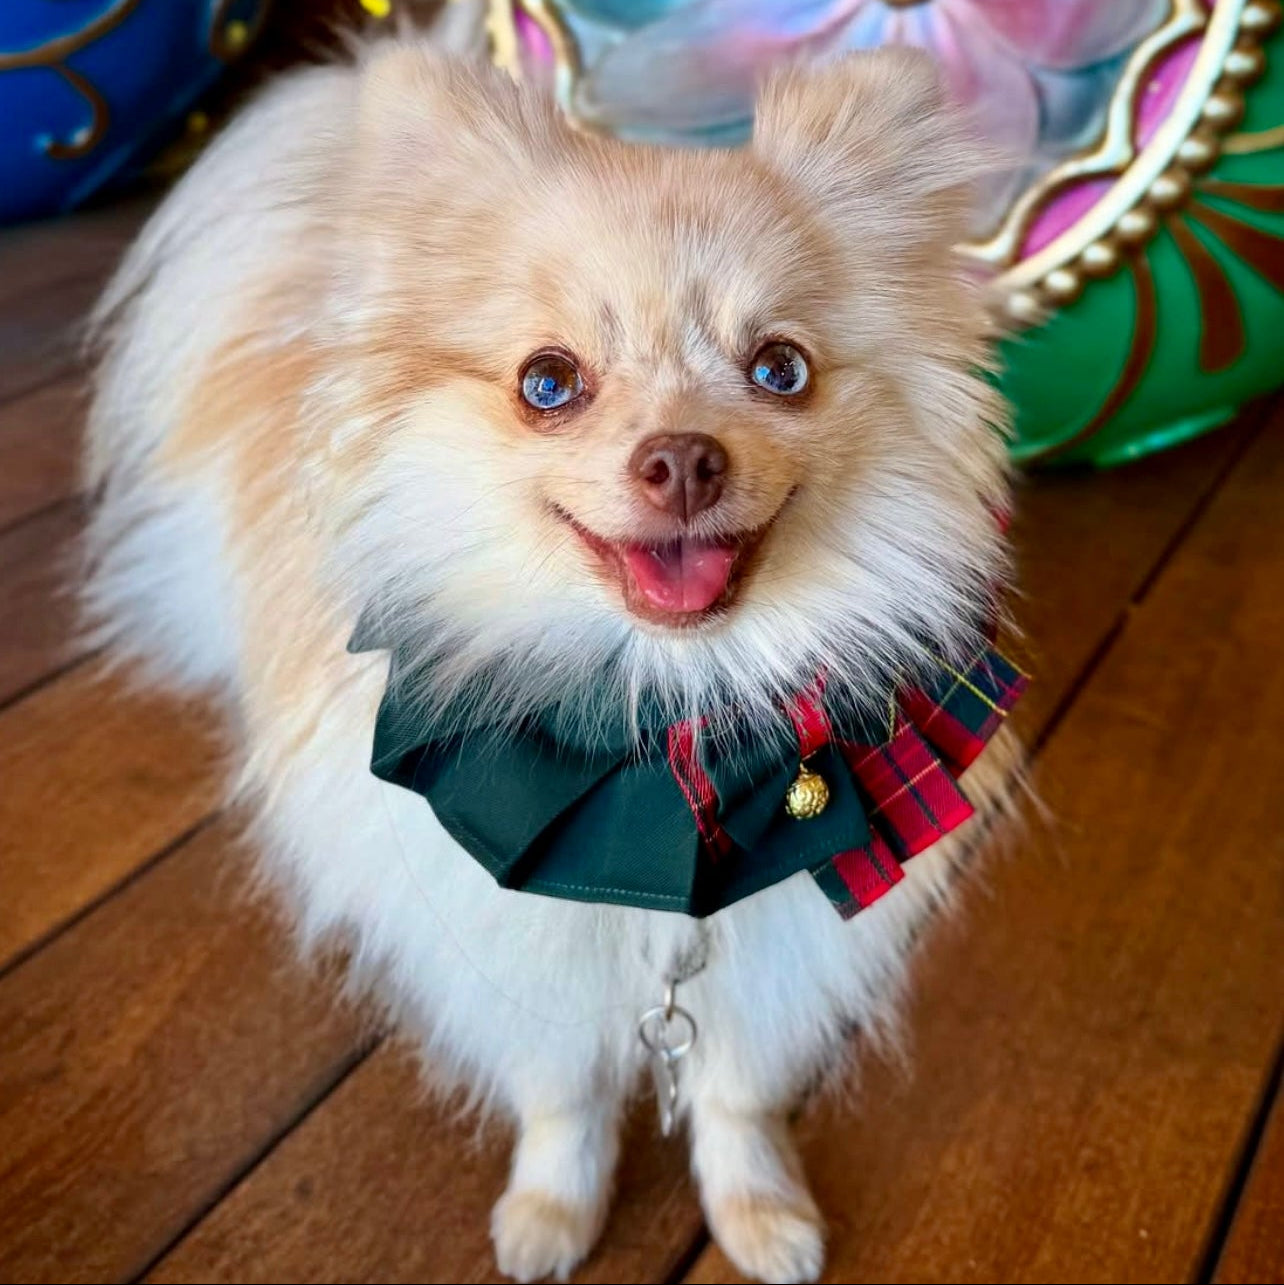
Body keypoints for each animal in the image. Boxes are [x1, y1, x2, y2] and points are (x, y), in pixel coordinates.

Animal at [80, 20, 1023, 1285]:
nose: (682, 457)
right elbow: (562, 1091)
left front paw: (761, 1213)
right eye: (548, 383)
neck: (658, 721)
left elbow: (734, 1089)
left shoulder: (772, 943)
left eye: (781, 369)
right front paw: (549, 1213)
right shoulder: (508, 930)